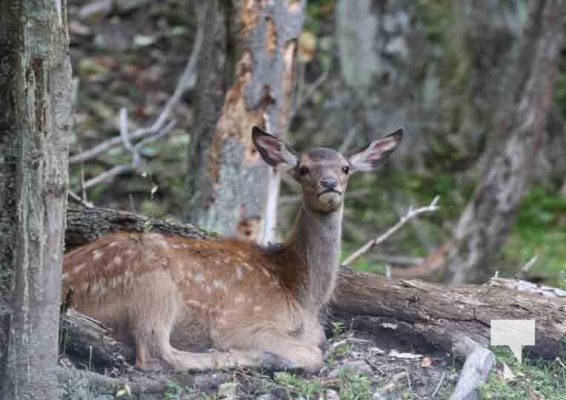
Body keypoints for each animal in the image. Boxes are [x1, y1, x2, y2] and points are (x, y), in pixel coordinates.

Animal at [62, 126, 404, 374]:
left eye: (345, 168)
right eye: (304, 168)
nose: (329, 184)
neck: (300, 293)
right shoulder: (241, 322)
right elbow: (312, 355)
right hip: (150, 286)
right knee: (156, 354)